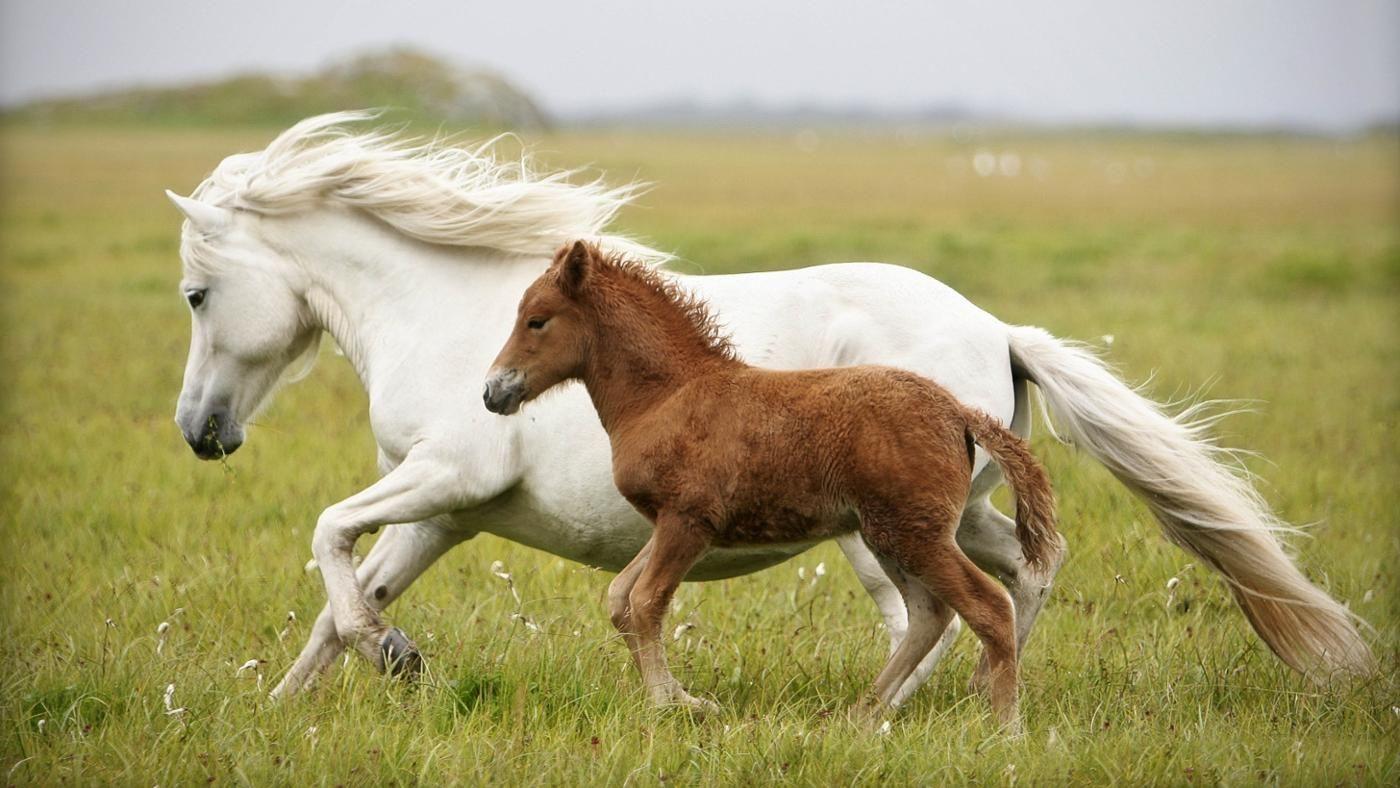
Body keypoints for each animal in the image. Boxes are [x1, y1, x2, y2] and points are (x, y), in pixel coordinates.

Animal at [487, 242, 1052, 727]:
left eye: (537, 321)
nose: (494, 391)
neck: (667, 395)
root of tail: (958, 412)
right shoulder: (669, 523)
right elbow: (620, 596)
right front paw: (685, 700)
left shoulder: (687, 521)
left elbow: (646, 602)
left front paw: (668, 705)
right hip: (889, 535)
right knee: (929, 614)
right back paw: (860, 716)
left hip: (917, 535)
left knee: (986, 607)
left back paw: (1005, 728)